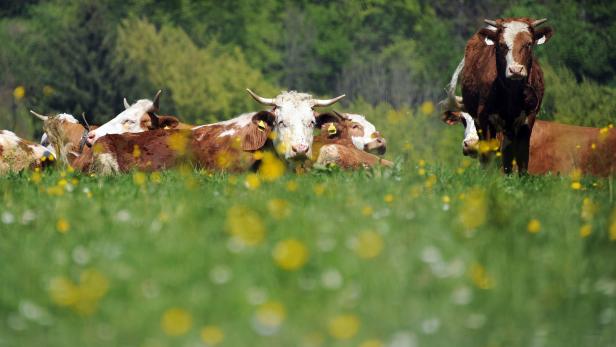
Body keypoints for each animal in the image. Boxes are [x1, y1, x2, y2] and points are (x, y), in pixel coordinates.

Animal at [442, 17, 552, 174]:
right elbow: (488, 154)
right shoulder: (484, 119)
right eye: (501, 44)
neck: (512, 94)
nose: (515, 70)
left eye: (529, 44)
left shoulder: (528, 119)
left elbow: (521, 156)